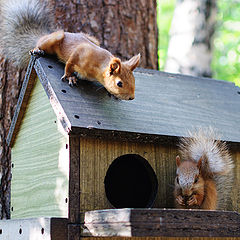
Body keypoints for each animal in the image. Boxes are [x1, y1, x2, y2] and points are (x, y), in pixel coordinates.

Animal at [0, 0, 140, 100]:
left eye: (134, 80)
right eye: (119, 83)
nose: (131, 97)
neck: (99, 66)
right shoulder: (81, 52)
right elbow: (70, 63)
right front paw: (69, 77)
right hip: (55, 38)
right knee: (41, 44)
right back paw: (37, 50)